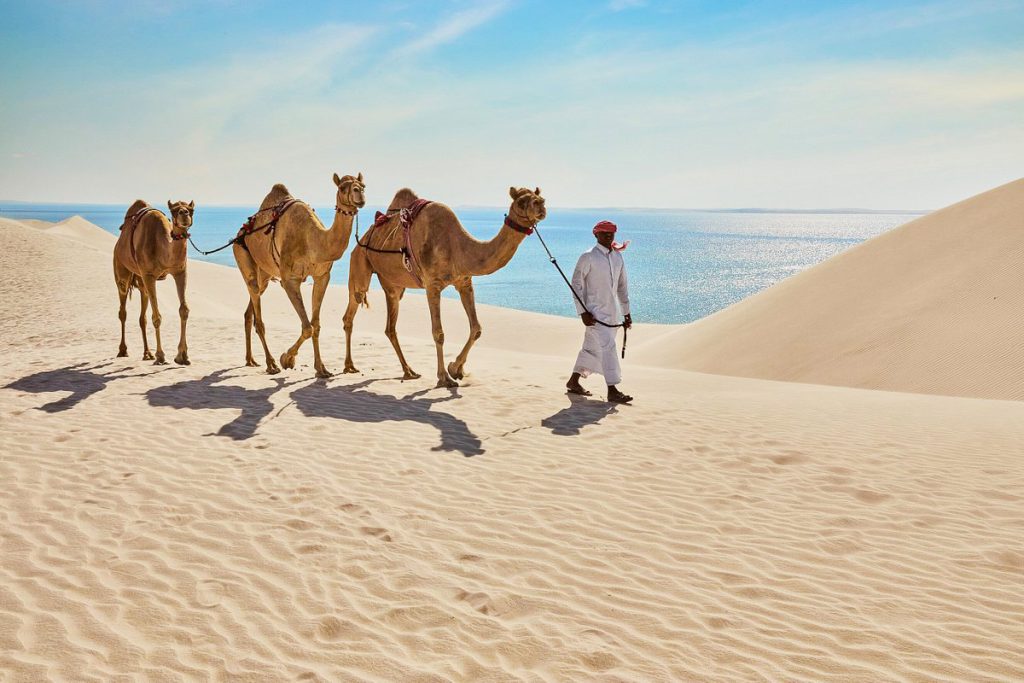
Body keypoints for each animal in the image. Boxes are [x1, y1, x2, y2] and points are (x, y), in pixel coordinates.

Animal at [113, 199, 195, 365]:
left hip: (141, 280)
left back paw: (147, 353)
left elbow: (184, 310)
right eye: (174, 210)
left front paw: (182, 355)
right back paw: (123, 350)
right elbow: (156, 317)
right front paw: (161, 355)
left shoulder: (180, 272)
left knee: (142, 316)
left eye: (192, 209)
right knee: (123, 310)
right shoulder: (149, 275)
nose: (184, 213)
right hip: (122, 270)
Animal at [234, 172, 365, 378]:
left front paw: (321, 368)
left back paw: (251, 360)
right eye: (342, 187)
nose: (359, 193)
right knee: (257, 309)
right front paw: (287, 359)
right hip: (241, 253)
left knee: (250, 310)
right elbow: (307, 327)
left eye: (363, 185)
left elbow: (315, 325)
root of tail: (240, 232)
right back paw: (271, 364)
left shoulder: (322, 276)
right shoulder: (289, 280)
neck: (314, 241)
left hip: (264, 273)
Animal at [343, 186, 547, 388]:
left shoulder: (464, 282)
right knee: (352, 309)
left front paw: (456, 369)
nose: (541, 205)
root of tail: (364, 237)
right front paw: (444, 377)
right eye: (522, 201)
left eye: (540, 197)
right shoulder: (432, 286)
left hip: (394, 286)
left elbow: (476, 328)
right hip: (359, 262)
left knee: (390, 327)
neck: (457, 247)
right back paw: (349, 366)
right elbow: (438, 333)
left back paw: (408, 371)